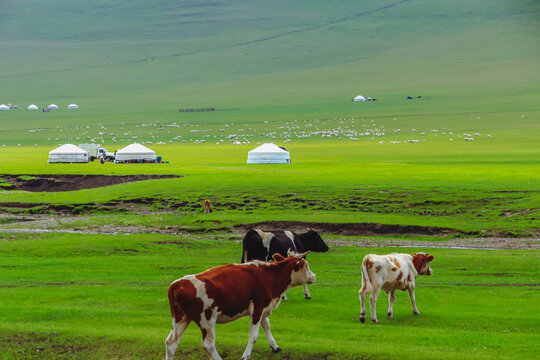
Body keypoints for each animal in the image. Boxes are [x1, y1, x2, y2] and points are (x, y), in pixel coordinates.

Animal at [165, 252, 316, 360]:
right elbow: (254, 335)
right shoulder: (257, 308)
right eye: (306, 266)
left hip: (183, 317)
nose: (314, 276)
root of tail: (177, 283)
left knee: (171, 344)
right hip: (207, 319)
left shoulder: (263, 308)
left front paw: (274, 346)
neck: (270, 276)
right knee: (209, 345)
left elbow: (266, 325)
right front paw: (246, 355)